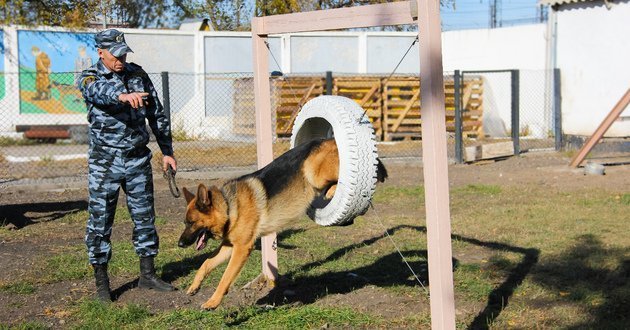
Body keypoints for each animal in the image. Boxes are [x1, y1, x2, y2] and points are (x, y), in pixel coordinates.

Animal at [177, 137, 386, 310]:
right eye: (185, 222)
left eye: (191, 223)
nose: (179, 244)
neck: (229, 206)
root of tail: (329, 139)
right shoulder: (230, 246)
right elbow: (205, 263)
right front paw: (194, 286)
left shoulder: (242, 249)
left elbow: (225, 277)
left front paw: (213, 301)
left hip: (315, 173)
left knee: (357, 173)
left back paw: (335, 189)